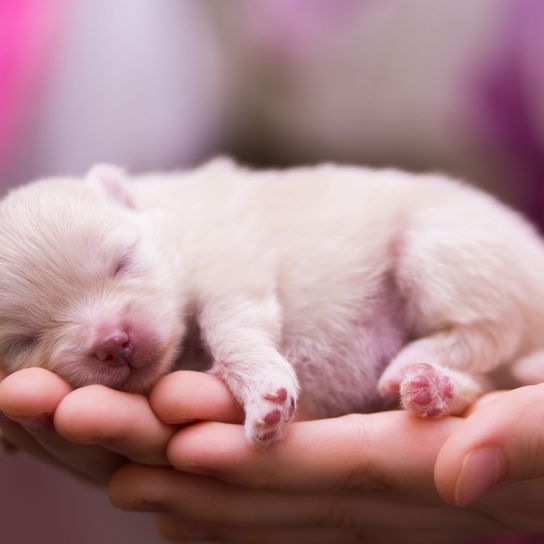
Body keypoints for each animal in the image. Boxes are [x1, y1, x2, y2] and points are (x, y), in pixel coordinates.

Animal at [1, 157, 544, 446]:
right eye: (23, 341)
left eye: (123, 261)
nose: (115, 341)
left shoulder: (227, 258)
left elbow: (233, 323)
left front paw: (265, 395)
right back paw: (433, 389)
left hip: (446, 246)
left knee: (490, 331)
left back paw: (414, 363)